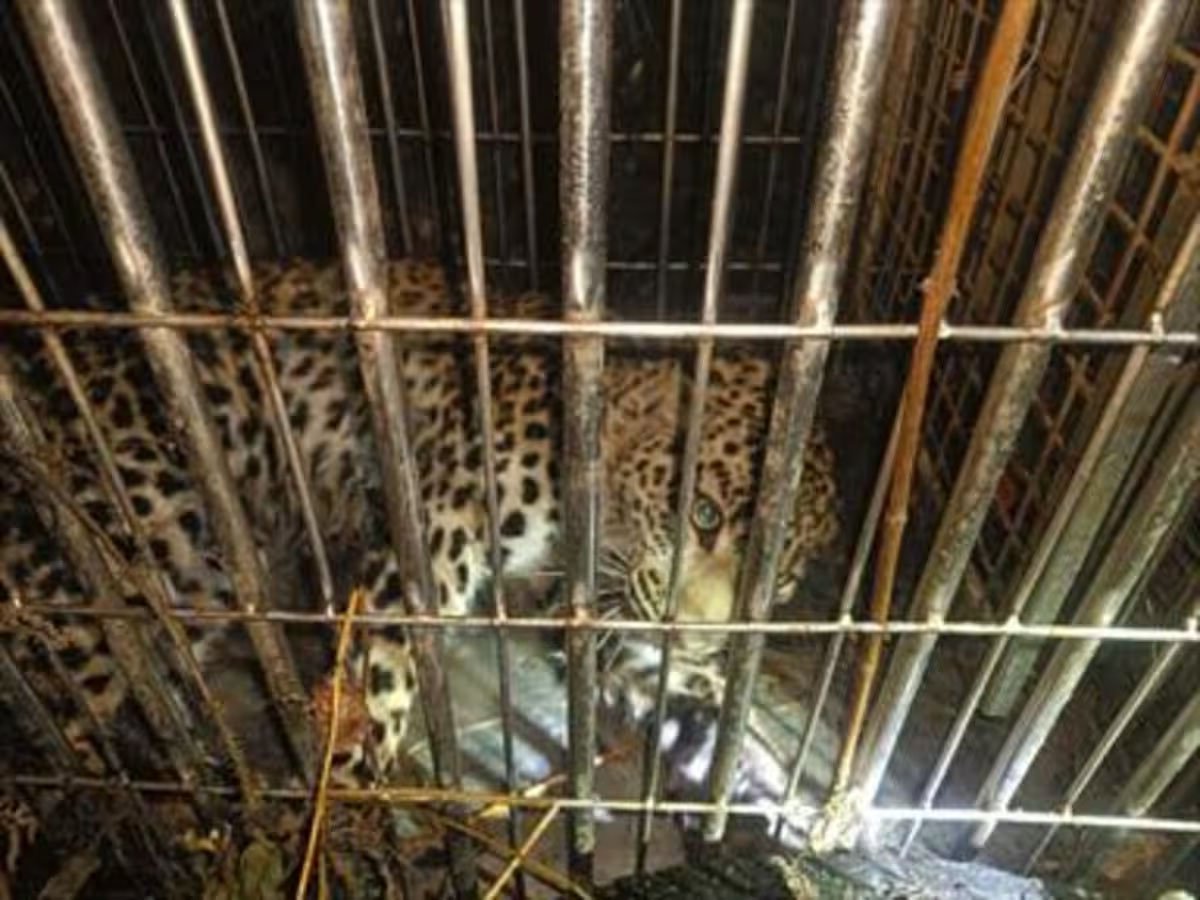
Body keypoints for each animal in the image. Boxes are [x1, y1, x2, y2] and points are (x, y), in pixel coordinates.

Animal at [0, 258, 839, 784]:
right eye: (704, 514)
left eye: (779, 583)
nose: (700, 633)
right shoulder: (441, 525)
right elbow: (380, 676)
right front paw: (346, 798)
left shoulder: (567, 600)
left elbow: (647, 662)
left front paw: (745, 743)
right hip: (160, 543)